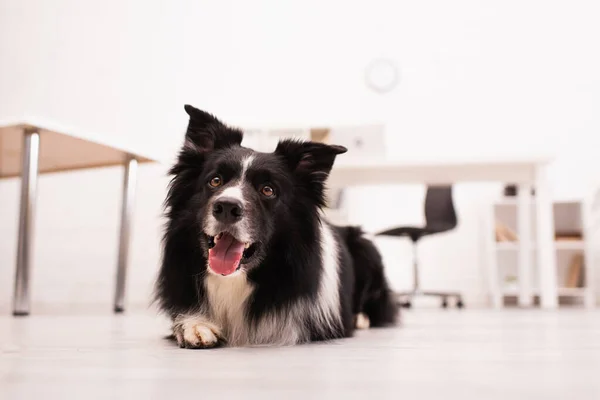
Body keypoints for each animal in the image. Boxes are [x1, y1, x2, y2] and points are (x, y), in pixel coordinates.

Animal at [155, 104, 398, 348]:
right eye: (215, 181)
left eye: (268, 190)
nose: (226, 207)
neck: (237, 280)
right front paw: (195, 325)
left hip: (367, 247)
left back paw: (362, 318)